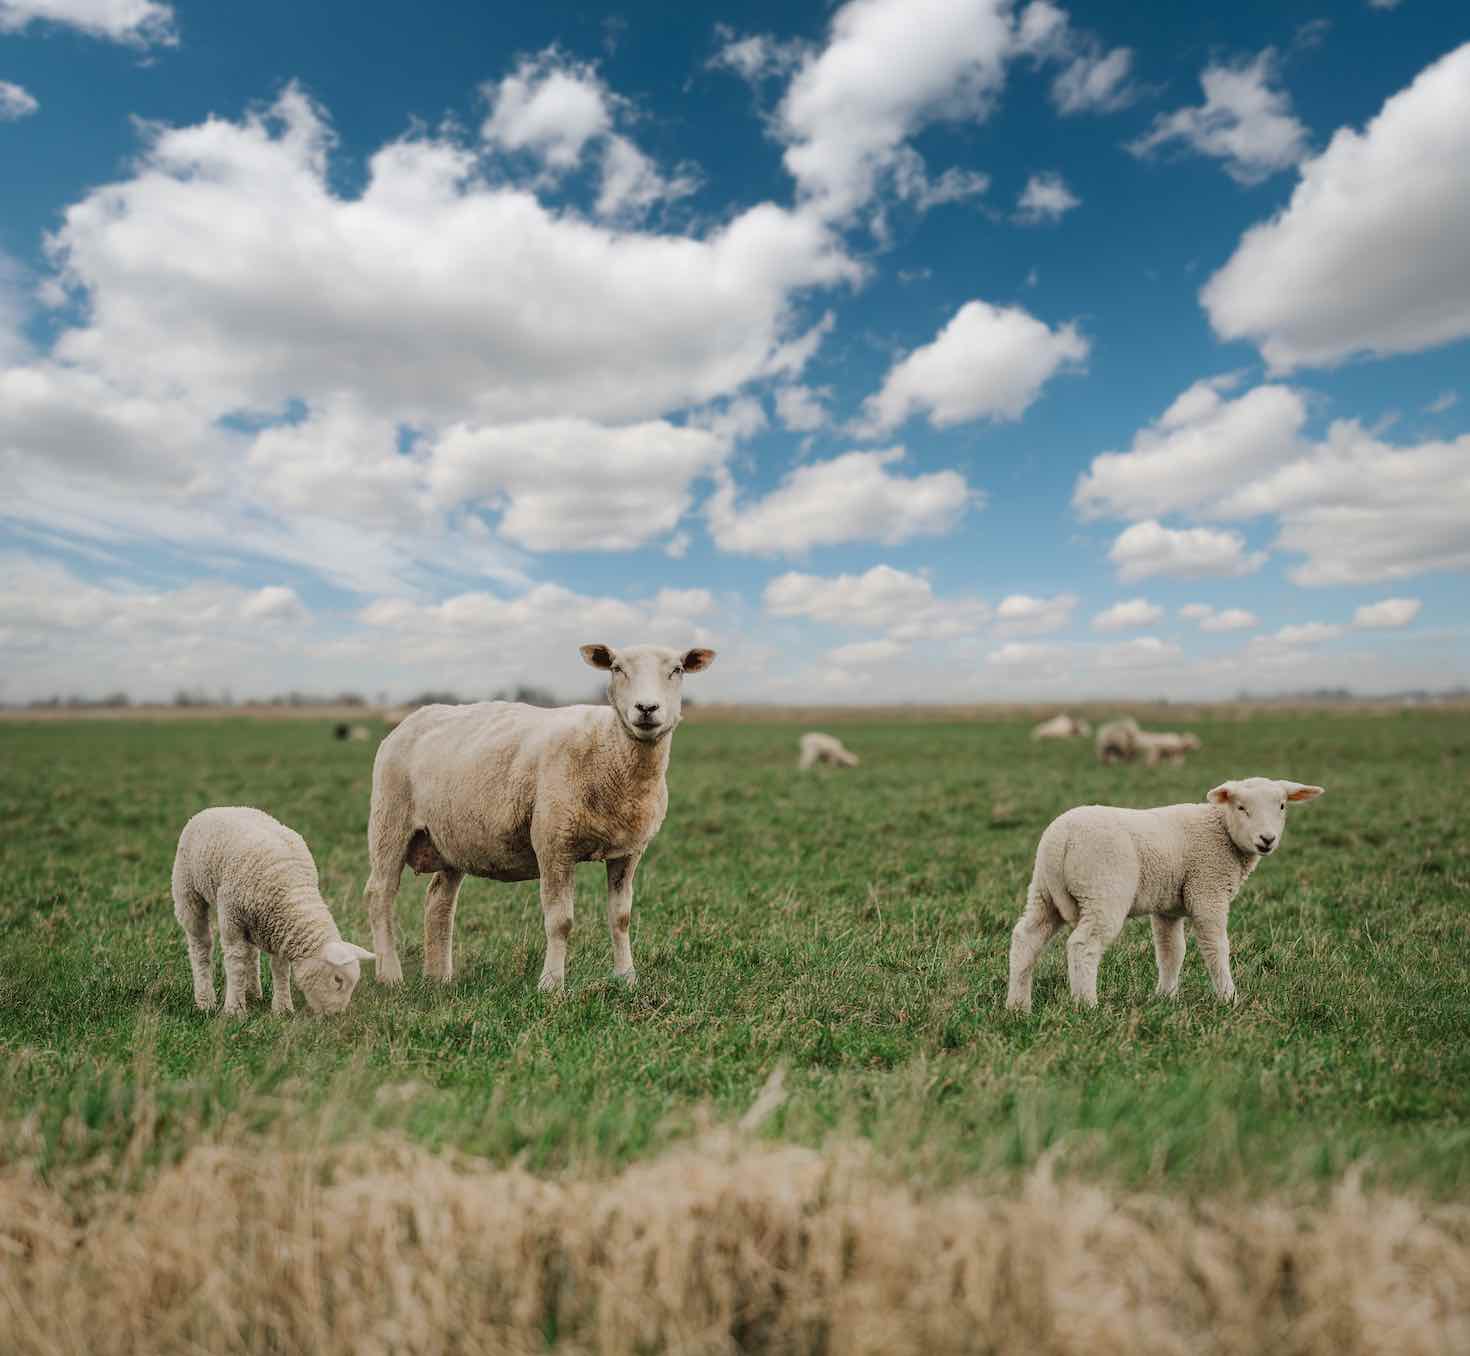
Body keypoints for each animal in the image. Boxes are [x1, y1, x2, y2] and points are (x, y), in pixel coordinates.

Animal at [172, 805, 379, 1011]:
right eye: (337, 979)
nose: (336, 1014)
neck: (293, 891)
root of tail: (216, 808)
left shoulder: (280, 929)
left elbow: (280, 968)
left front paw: (283, 1008)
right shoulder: (231, 918)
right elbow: (235, 962)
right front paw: (234, 1009)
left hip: (252, 921)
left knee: (250, 953)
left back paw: (253, 993)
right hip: (188, 892)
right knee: (200, 946)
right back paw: (205, 1000)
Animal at [364, 638, 714, 988]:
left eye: (677, 670)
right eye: (617, 668)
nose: (647, 708)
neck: (609, 747)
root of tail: (413, 718)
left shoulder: (628, 852)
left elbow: (621, 917)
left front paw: (627, 977)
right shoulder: (554, 842)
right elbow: (560, 921)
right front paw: (551, 984)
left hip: (452, 836)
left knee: (438, 900)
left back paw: (439, 978)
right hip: (389, 819)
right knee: (380, 894)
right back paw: (390, 975)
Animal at [1005, 776, 1328, 1011]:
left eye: (1282, 806)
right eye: (1241, 808)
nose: (1267, 839)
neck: (1221, 831)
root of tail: (1061, 838)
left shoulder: (1168, 907)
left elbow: (1171, 952)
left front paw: (1166, 997)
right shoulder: (1207, 890)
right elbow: (1216, 947)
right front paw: (1229, 998)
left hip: (1043, 891)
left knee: (1026, 937)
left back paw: (1018, 1006)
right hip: (1103, 890)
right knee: (1083, 945)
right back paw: (1087, 1006)